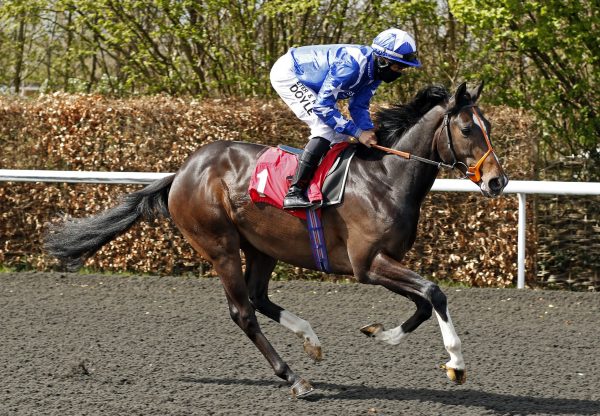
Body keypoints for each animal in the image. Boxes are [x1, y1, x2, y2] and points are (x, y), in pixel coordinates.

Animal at [45, 81, 506, 396]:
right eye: (468, 128)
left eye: (488, 125)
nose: (498, 181)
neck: (386, 178)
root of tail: (181, 172)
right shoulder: (367, 263)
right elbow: (434, 292)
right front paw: (456, 362)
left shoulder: (384, 261)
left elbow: (424, 303)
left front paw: (381, 334)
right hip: (220, 246)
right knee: (243, 311)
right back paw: (295, 379)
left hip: (262, 246)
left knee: (259, 297)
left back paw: (311, 342)